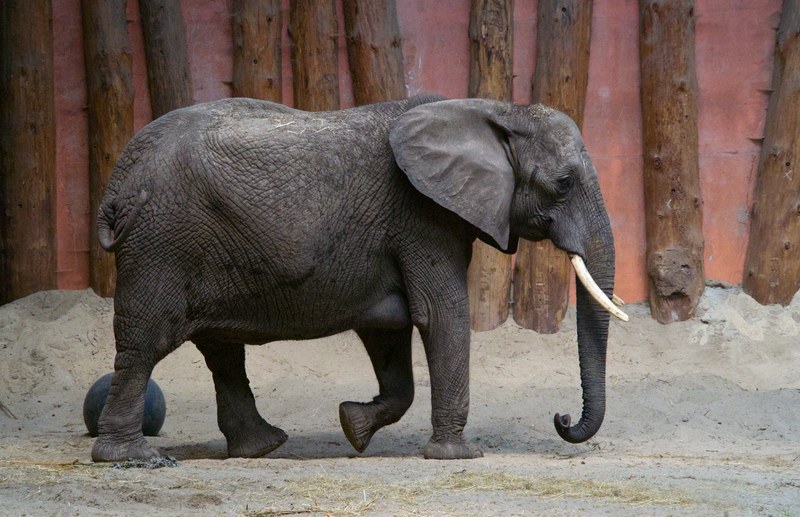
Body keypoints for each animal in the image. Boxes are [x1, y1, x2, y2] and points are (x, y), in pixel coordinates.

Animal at [91, 94, 627, 462]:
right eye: (563, 184)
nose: (561, 418)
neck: (493, 109)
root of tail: (117, 183)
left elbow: (388, 330)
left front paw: (353, 426)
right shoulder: (420, 217)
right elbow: (442, 316)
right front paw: (457, 456)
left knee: (221, 351)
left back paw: (262, 448)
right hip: (161, 242)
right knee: (145, 343)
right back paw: (133, 459)